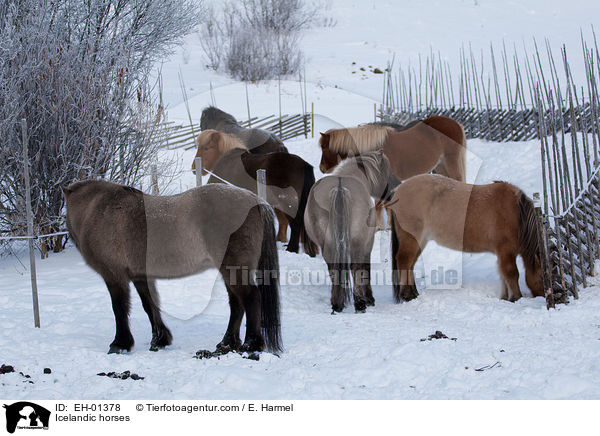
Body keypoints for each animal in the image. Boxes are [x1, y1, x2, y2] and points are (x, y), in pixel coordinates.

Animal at [63, 180, 284, 354]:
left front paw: (120, 343)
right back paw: (227, 343)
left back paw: (251, 345)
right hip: (228, 271)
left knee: (251, 298)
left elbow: (119, 308)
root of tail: (255, 201)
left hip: (234, 270)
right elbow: (149, 305)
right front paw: (160, 340)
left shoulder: (114, 276)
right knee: (237, 304)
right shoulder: (140, 276)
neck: (99, 209)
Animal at [386, 175, 548, 304]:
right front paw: (516, 297)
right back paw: (407, 295)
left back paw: (413, 293)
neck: (516, 213)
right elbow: (511, 273)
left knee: (410, 265)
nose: (544, 296)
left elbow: (503, 274)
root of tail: (397, 191)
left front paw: (505, 297)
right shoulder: (506, 250)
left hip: (420, 241)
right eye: (543, 276)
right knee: (404, 261)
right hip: (411, 238)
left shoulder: (502, 253)